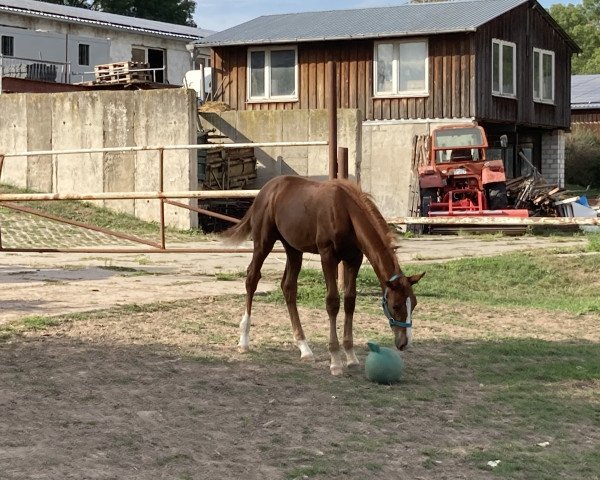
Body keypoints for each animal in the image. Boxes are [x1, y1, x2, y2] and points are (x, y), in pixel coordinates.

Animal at [223, 176, 424, 376]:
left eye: (414, 304)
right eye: (395, 305)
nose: (404, 343)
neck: (345, 210)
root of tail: (267, 189)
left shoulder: (354, 259)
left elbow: (350, 301)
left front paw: (351, 356)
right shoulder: (328, 256)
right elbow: (332, 302)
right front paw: (335, 361)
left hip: (293, 248)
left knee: (288, 287)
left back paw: (304, 349)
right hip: (263, 242)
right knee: (252, 278)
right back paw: (244, 341)